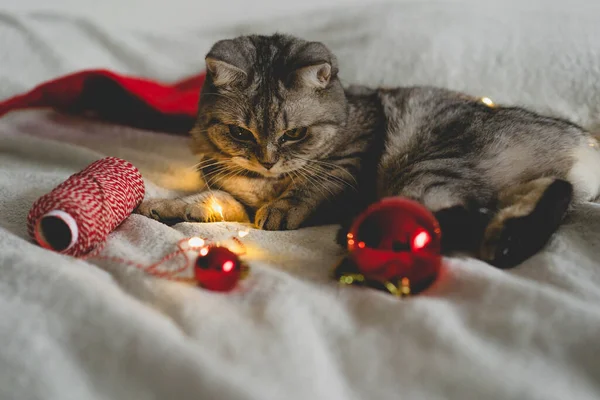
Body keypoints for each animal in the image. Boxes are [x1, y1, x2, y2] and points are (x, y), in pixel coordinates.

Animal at [136, 32, 600, 268]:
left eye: (295, 134)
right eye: (241, 133)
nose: (267, 161)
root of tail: (585, 145)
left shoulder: (346, 170)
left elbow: (307, 190)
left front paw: (283, 208)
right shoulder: (235, 197)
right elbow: (205, 200)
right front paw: (161, 206)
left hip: (428, 167)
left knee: (450, 218)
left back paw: (360, 240)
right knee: (542, 200)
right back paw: (505, 244)